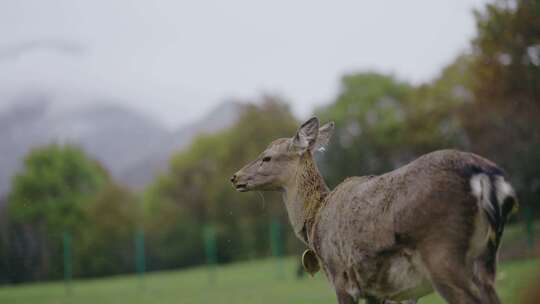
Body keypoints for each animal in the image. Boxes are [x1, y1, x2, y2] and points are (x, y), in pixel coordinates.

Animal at [229, 117, 520, 304]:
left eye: (266, 157)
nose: (235, 177)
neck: (314, 222)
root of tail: (486, 176)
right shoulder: (375, 290)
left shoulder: (340, 277)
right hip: (486, 259)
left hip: (443, 253)